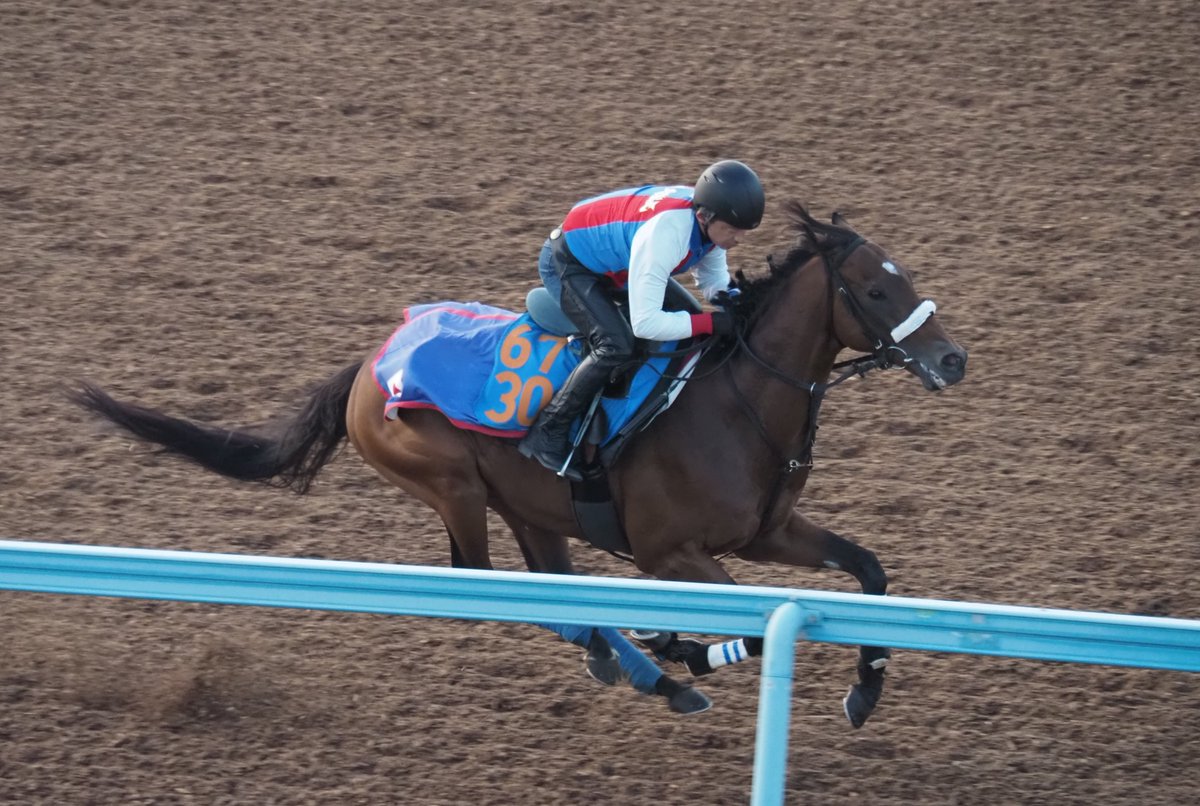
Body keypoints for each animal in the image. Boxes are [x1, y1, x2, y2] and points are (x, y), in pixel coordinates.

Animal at [72, 202, 967, 728]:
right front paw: (688, 644)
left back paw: (645, 671)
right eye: (874, 290)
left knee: (549, 589)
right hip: (452, 485)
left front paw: (864, 689)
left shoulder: (767, 531)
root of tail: (372, 362)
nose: (952, 360)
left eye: (906, 277)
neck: (735, 403)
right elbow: (747, 623)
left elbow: (870, 570)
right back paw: (658, 665)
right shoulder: (670, 553)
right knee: (484, 584)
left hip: (535, 510)